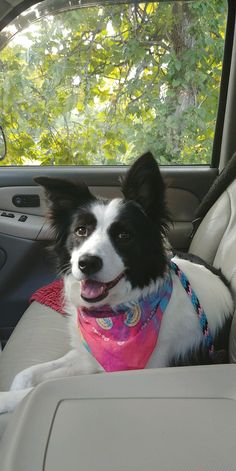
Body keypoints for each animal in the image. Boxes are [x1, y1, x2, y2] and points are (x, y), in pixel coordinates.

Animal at [0, 154, 233, 412]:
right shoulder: (85, 353)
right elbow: (25, 374)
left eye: (124, 235)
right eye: (80, 230)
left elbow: (34, 391)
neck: (119, 309)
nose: (87, 263)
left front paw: (6, 400)